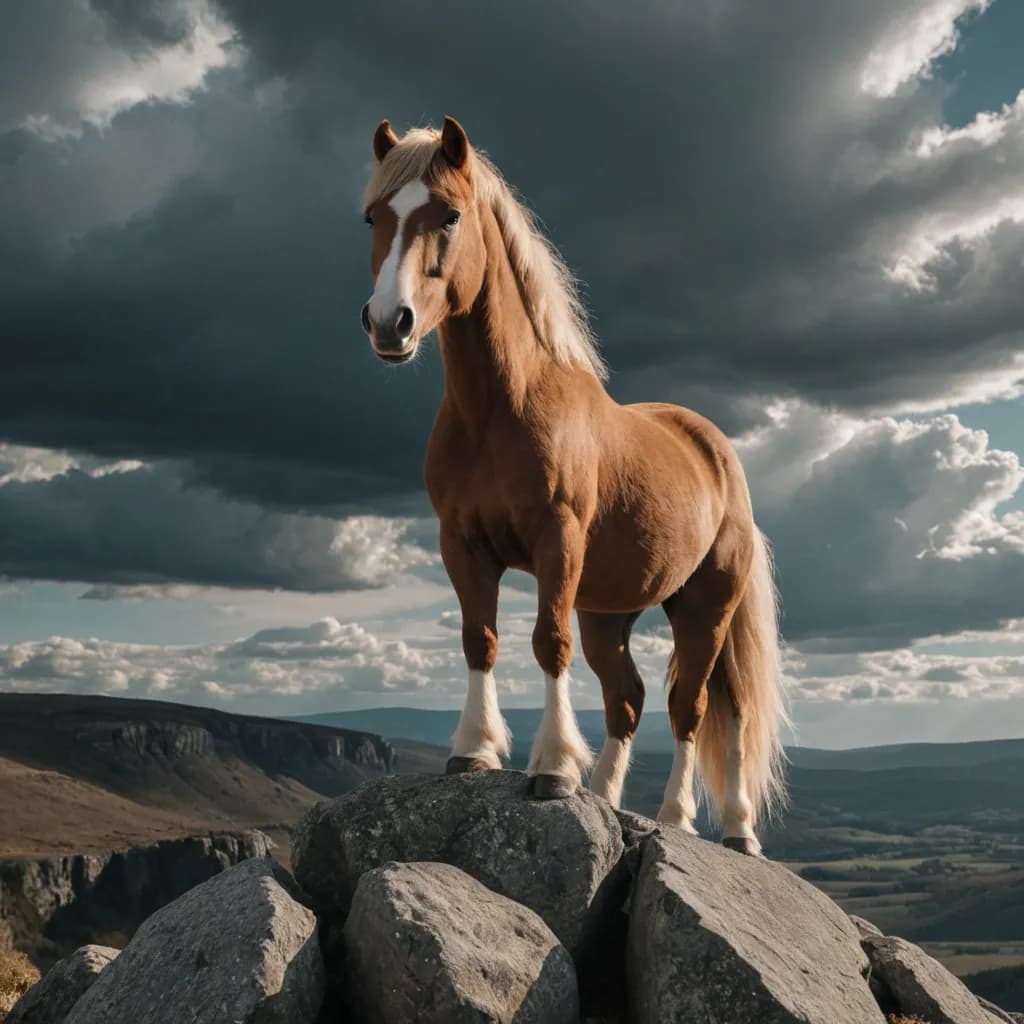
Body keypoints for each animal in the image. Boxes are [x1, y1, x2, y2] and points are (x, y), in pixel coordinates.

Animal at [359, 116, 787, 856]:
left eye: (449, 214)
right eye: (373, 217)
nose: (390, 322)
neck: (502, 407)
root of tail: (717, 453)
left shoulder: (556, 540)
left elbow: (546, 641)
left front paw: (553, 769)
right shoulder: (461, 545)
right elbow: (481, 639)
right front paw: (474, 751)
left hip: (705, 607)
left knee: (699, 706)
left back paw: (705, 823)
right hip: (610, 610)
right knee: (631, 698)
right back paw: (624, 801)